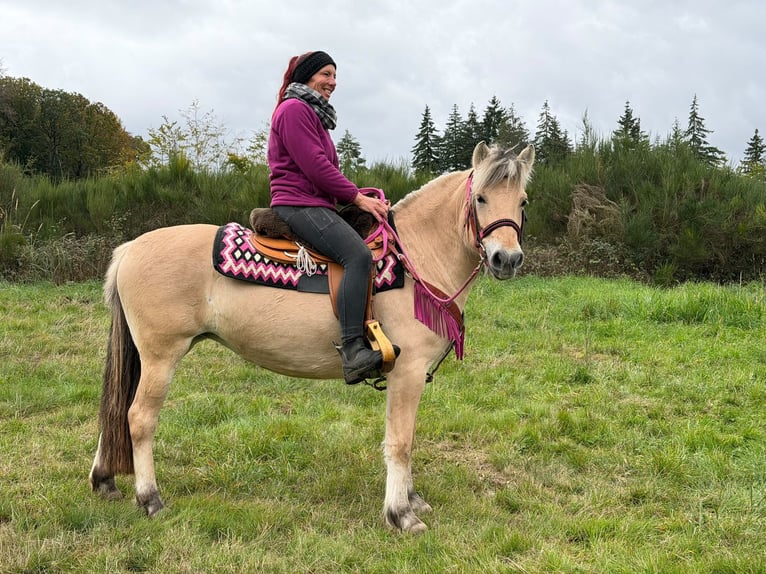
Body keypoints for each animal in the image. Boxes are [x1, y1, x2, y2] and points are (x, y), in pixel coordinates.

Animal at [89, 141, 535, 533]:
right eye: (480, 198)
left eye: (523, 202)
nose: (507, 259)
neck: (416, 260)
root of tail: (129, 249)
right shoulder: (406, 372)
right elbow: (400, 443)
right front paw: (401, 515)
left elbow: (405, 438)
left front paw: (411, 500)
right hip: (161, 357)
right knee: (138, 418)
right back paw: (150, 499)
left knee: (116, 409)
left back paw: (104, 480)